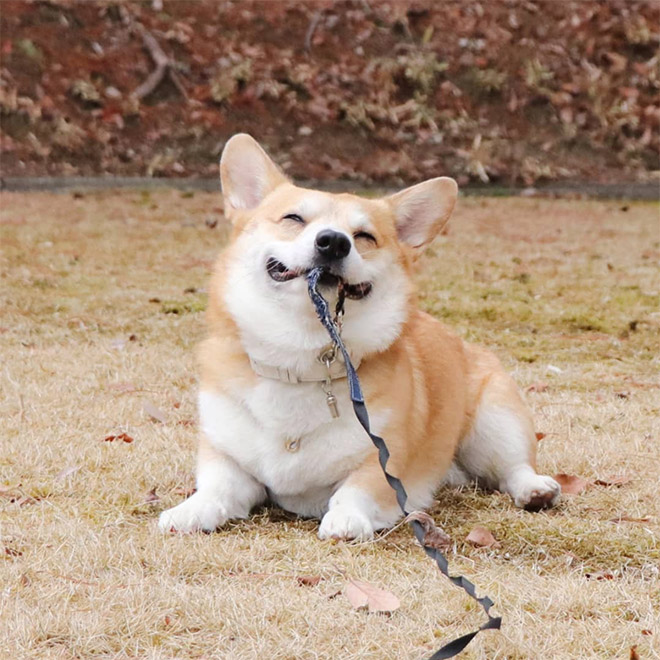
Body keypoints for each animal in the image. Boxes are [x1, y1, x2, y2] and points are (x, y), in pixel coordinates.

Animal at [157, 135, 560, 540]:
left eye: (364, 237)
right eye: (293, 219)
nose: (334, 242)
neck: (301, 354)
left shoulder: (384, 461)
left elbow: (356, 488)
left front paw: (345, 519)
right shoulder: (227, 459)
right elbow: (217, 487)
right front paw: (189, 511)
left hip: (495, 420)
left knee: (513, 467)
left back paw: (535, 489)